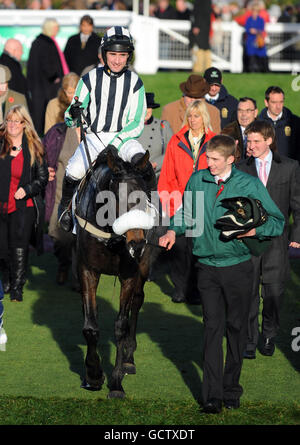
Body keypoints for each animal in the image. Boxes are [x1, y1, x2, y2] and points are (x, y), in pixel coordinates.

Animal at [75, 148, 164, 396]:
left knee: (137, 301)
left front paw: (116, 382)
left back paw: (128, 359)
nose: (137, 244)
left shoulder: (130, 275)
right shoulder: (87, 269)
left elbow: (121, 325)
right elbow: (90, 326)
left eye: (144, 196)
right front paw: (94, 375)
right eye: (115, 198)